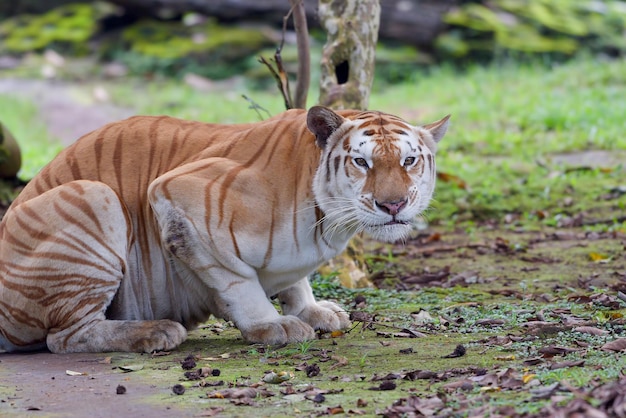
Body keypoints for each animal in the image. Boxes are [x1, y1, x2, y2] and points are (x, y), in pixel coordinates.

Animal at [0, 108, 448, 352]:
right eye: (362, 162)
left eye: (409, 161)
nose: (393, 205)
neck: (328, 219)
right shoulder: (174, 194)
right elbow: (238, 281)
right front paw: (274, 326)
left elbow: (296, 280)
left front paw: (311, 309)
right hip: (94, 196)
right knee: (65, 336)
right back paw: (157, 331)